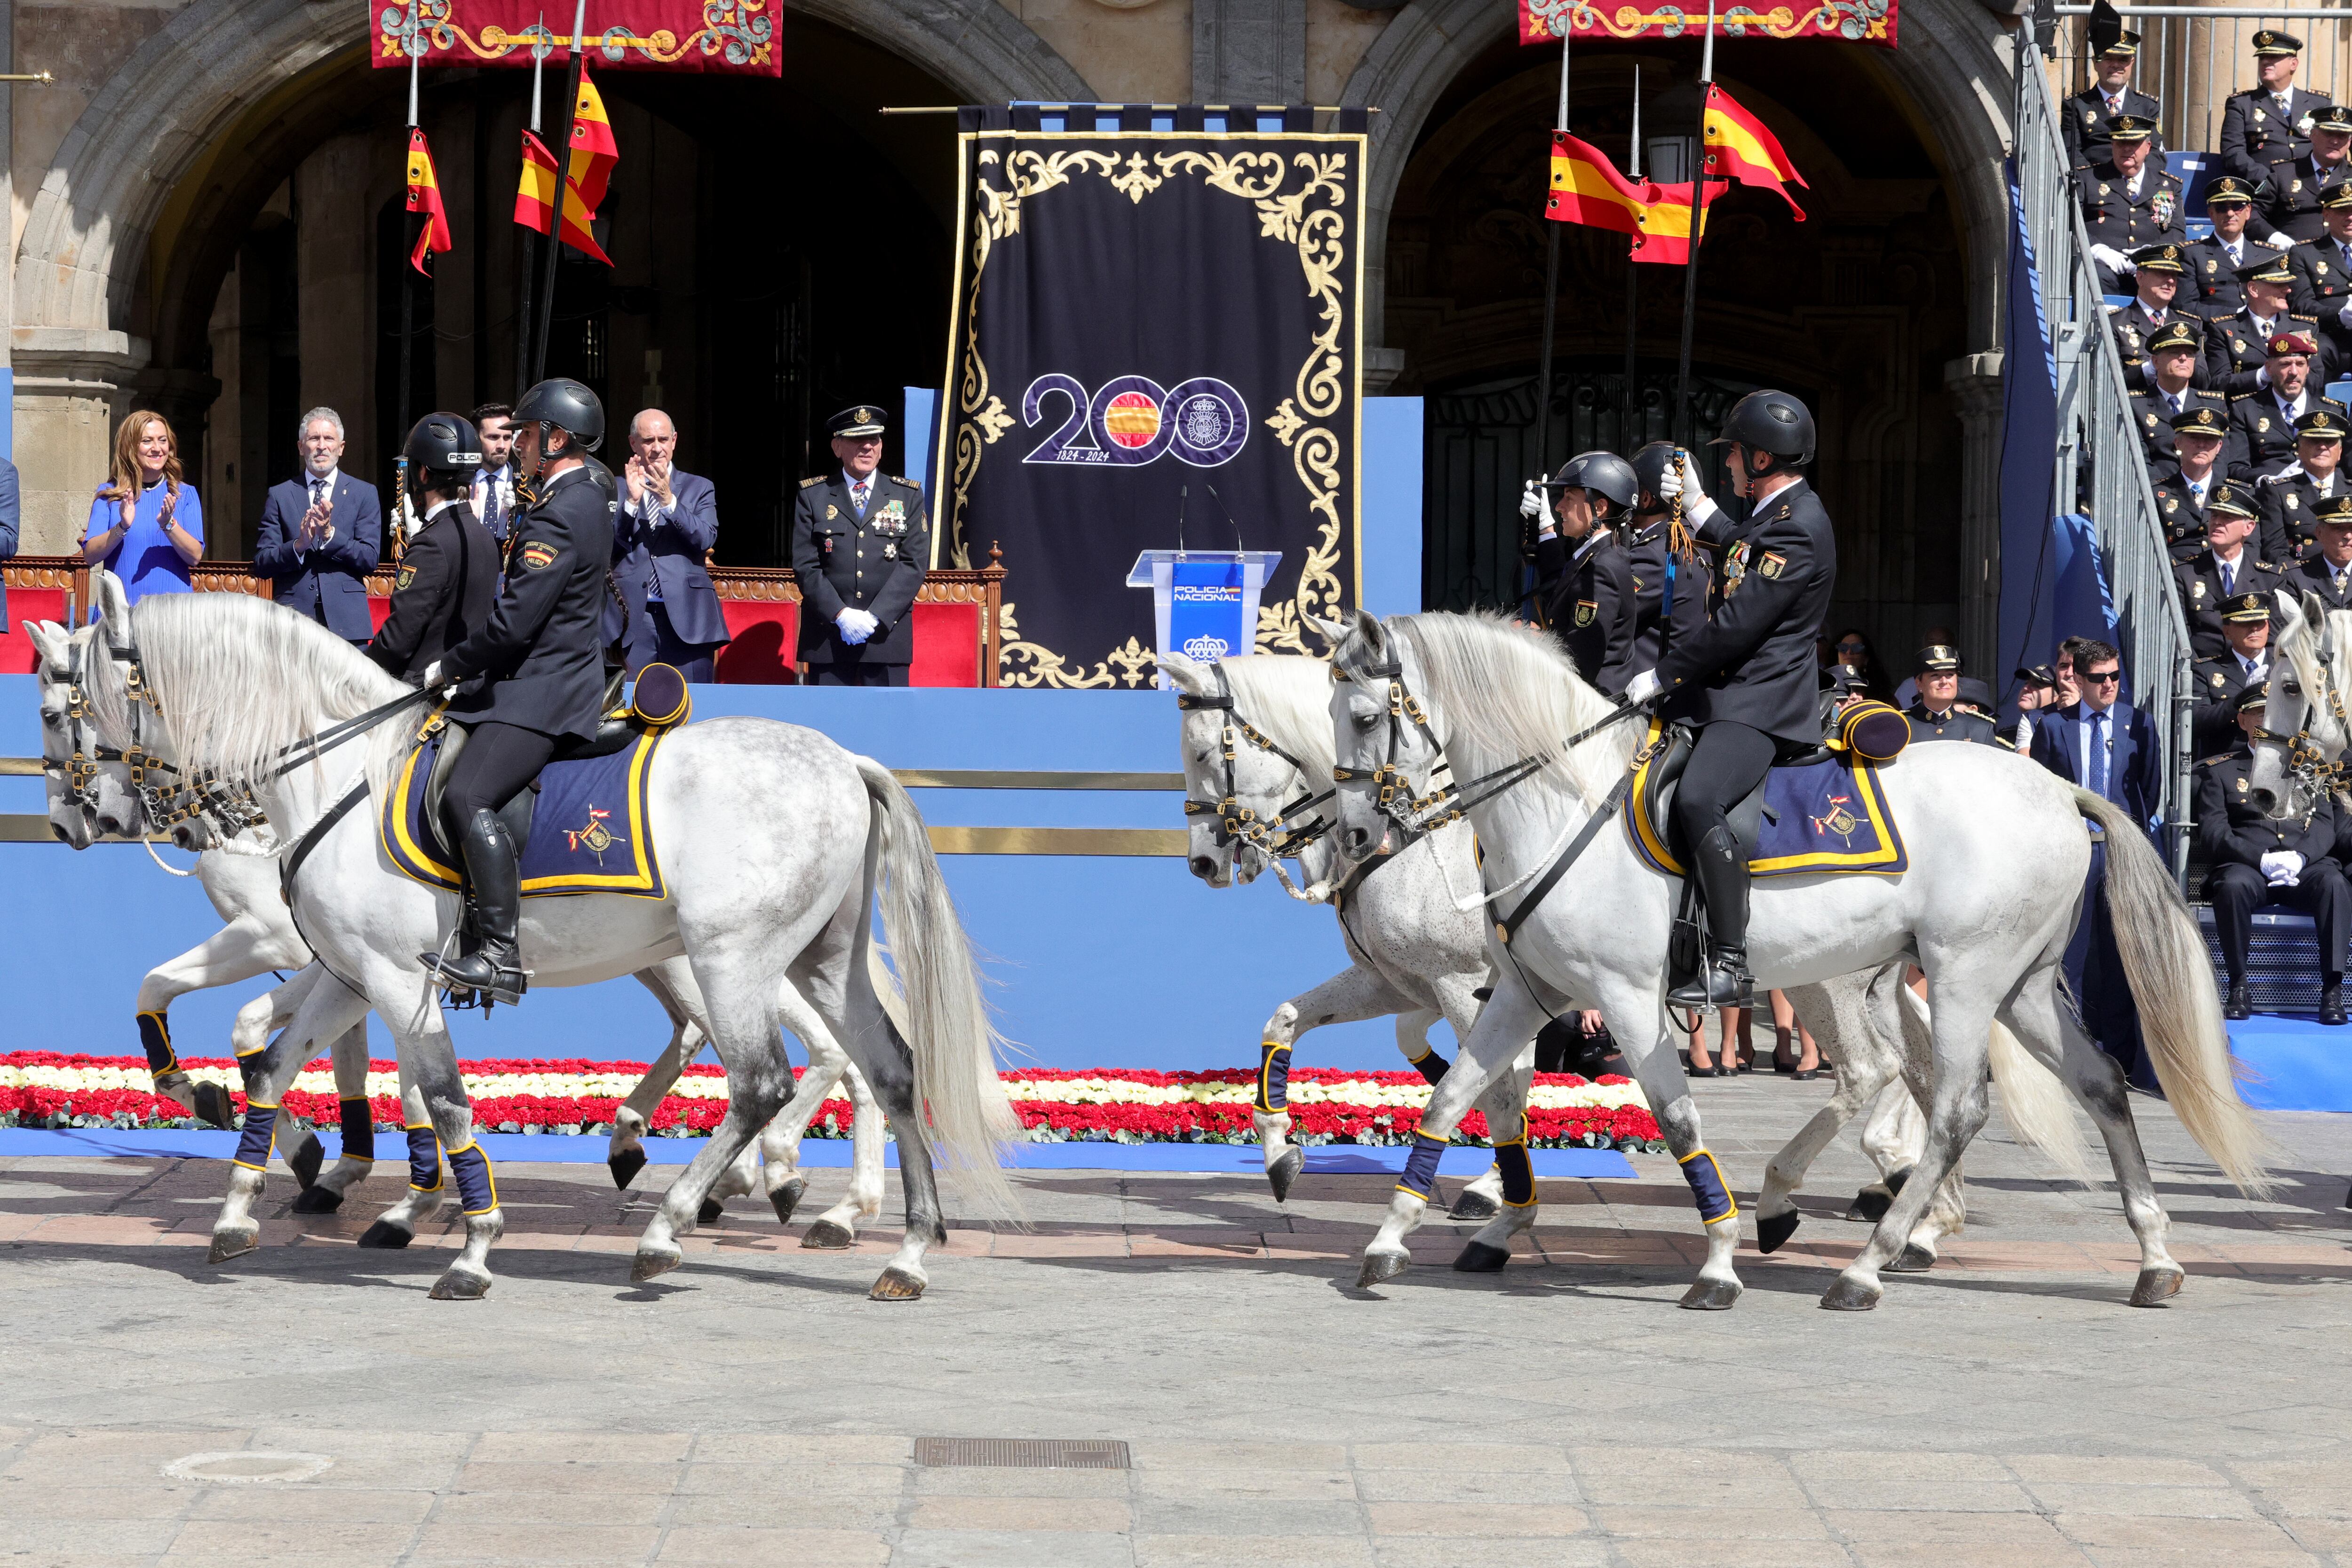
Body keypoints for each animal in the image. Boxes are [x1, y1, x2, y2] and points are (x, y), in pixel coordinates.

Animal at [71, 576, 1011, 1298]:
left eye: (79, 702)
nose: (94, 815)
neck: (339, 772)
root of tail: (843, 759)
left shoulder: (395, 977)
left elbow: (444, 1097)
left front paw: (473, 1248)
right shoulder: (348, 971)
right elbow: (273, 1062)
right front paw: (240, 1208)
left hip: (733, 958)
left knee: (762, 1082)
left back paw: (673, 1224)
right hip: (821, 958)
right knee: (891, 1069)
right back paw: (907, 1251)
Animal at [1317, 611, 2267, 1316]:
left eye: (1364, 717)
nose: (1356, 835)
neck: (1563, 801)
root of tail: (2057, 787)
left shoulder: (1628, 998)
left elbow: (1679, 1121)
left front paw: (1719, 1262)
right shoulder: (1525, 991)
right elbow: (1451, 1097)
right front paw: (1391, 1240)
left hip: (1962, 976)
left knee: (1952, 1105)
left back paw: (1865, 1262)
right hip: (2019, 987)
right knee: (2099, 1081)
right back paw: (2151, 1253)